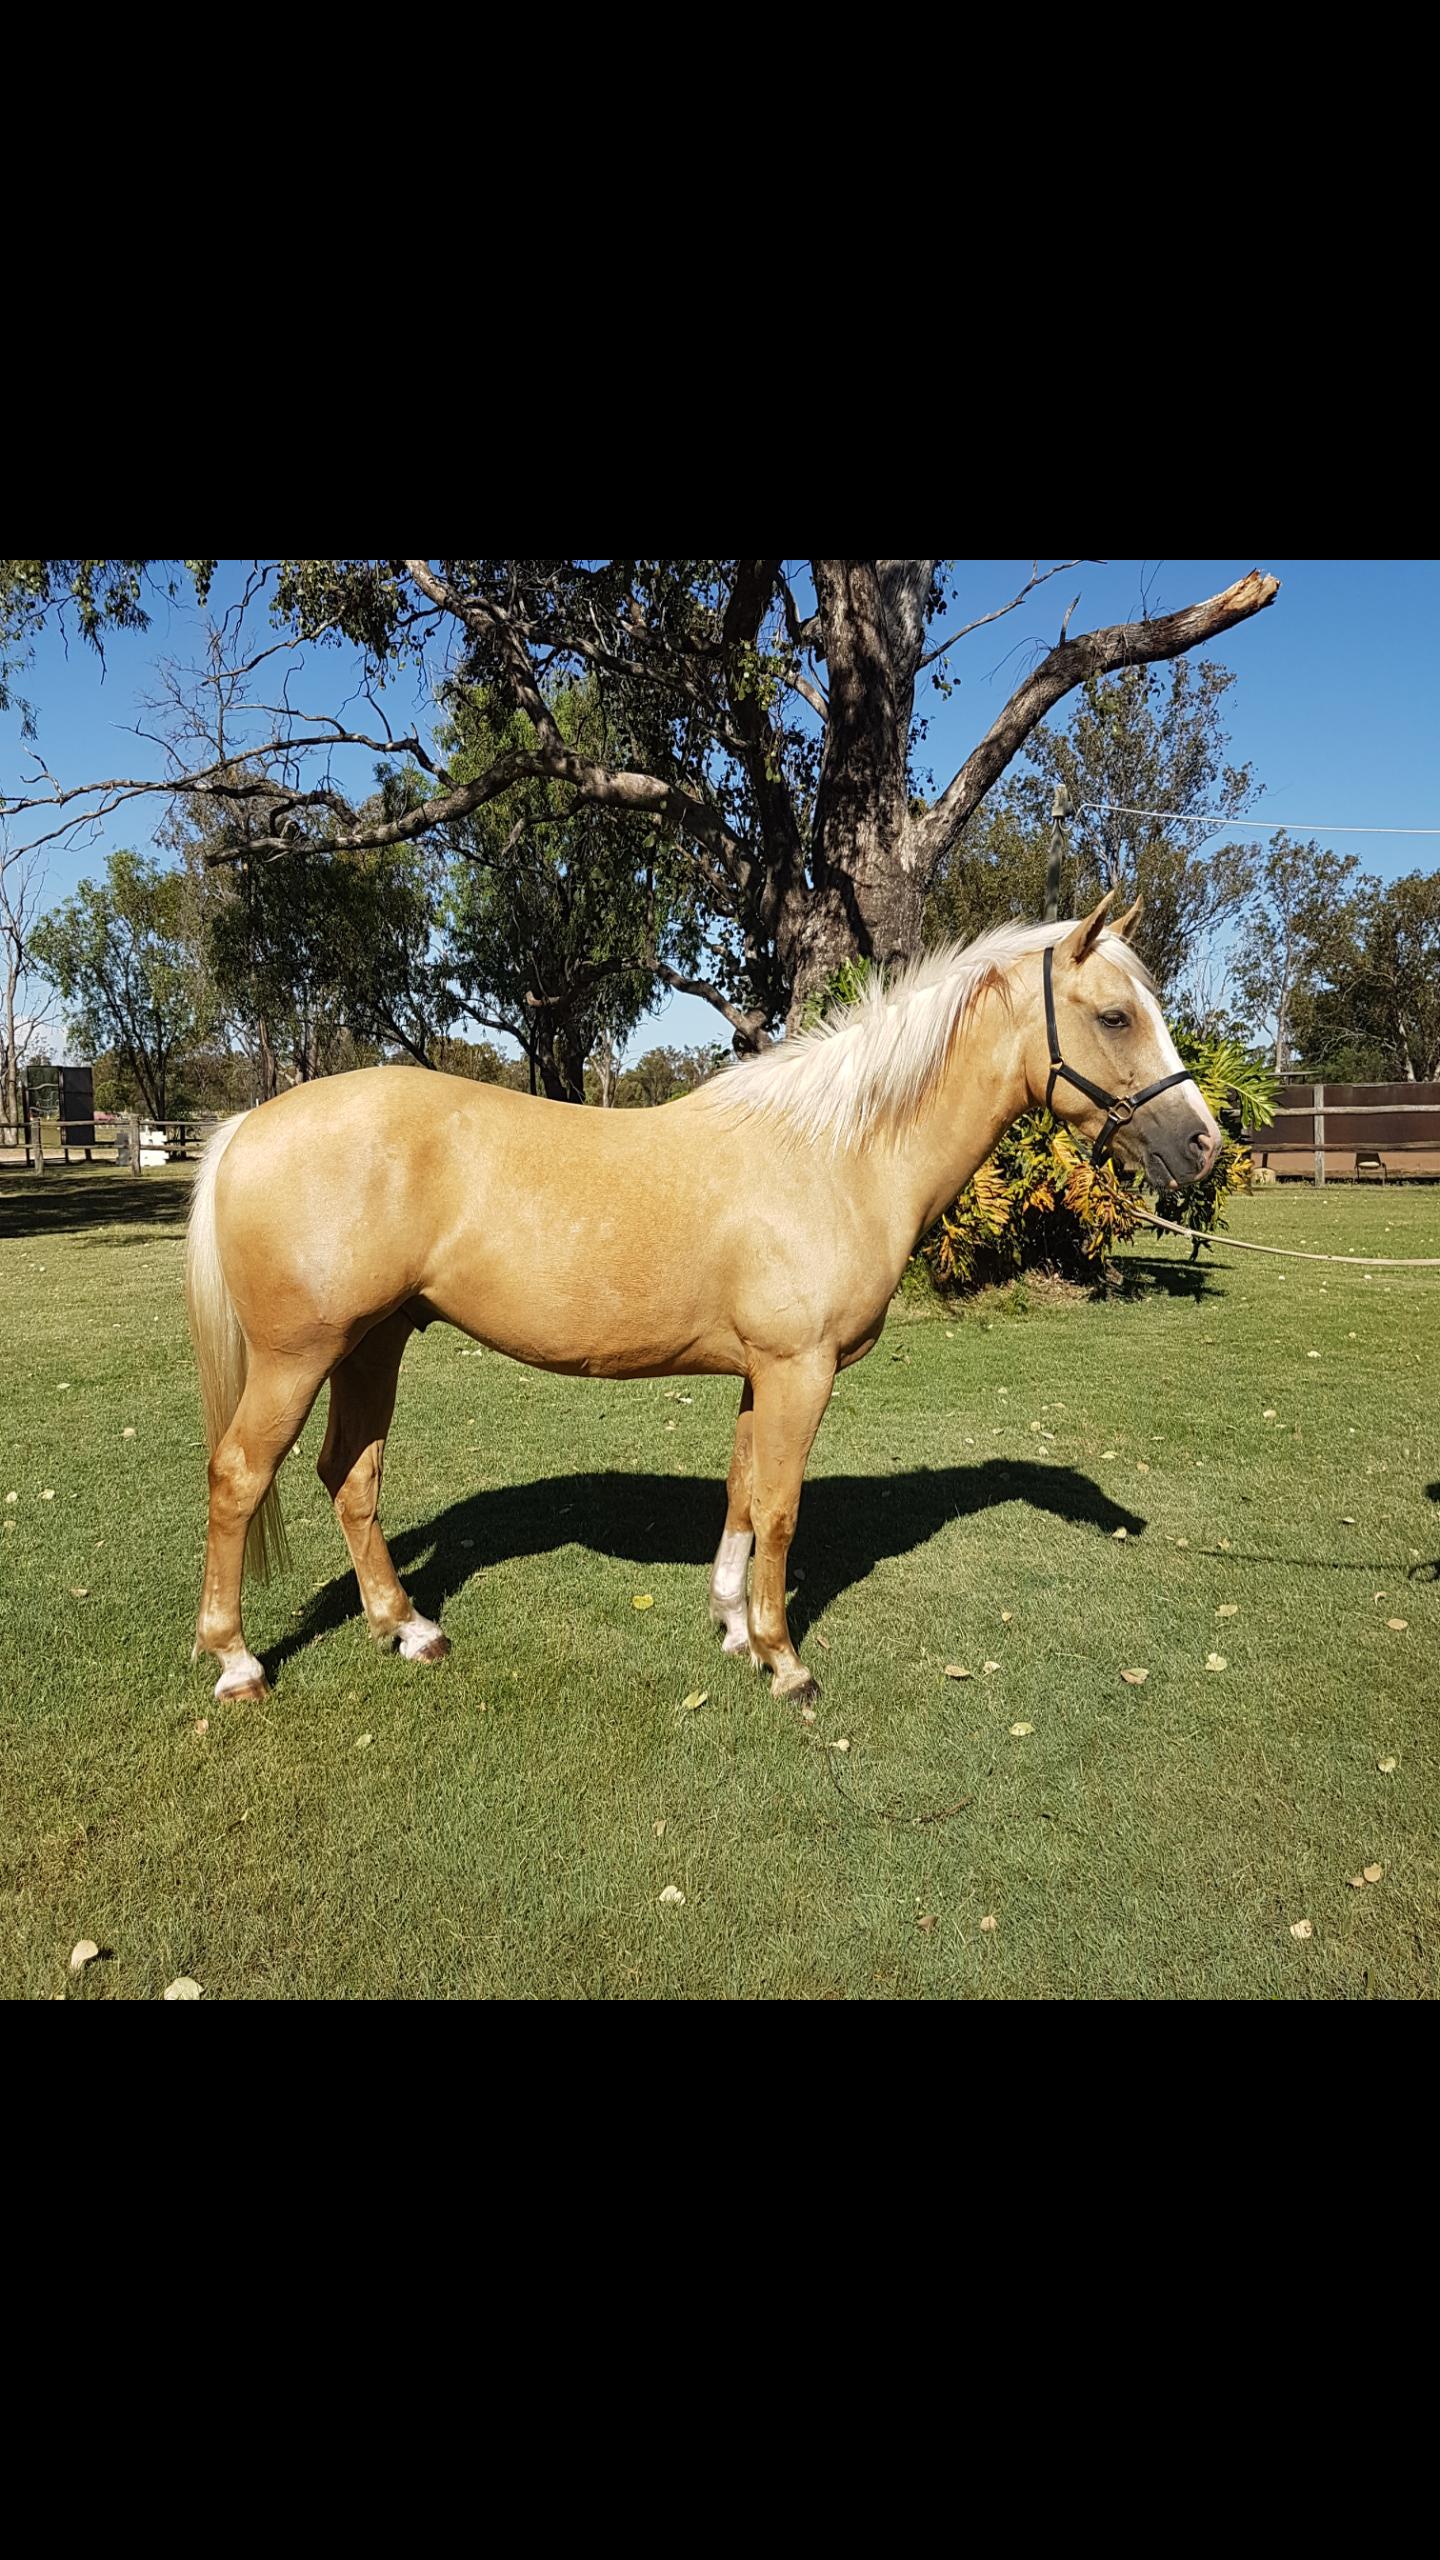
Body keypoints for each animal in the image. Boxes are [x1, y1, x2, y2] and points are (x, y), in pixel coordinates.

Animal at [185, 891, 1221, 1707]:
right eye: (1116, 1017)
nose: (1203, 1145)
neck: (835, 1154)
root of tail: (248, 1125)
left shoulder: (764, 1371)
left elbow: (741, 1491)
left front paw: (732, 1626)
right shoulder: (801, 1370)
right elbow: (783, 1509)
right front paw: (785, 1660)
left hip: (375, 1343)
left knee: (350, 1477)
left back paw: (407, 1628)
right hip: (299, 1357)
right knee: (239, 1476)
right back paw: (236, 1663)